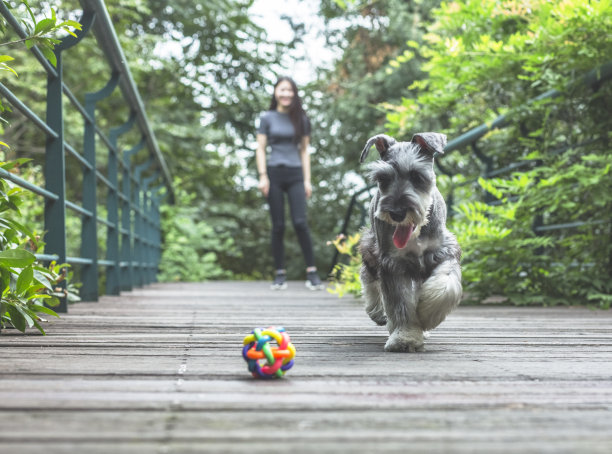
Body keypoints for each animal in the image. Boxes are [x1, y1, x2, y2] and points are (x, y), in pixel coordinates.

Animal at [356, 133, 462, 352]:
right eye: (383, 179)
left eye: (416, 176)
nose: (397, 213)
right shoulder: (392, 263)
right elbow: (400, 303)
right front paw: (405, 337)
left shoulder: (445, 253)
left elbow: (444, 286)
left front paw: (426, 315)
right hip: (371, 250)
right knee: (369, 279)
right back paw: (378, 312)